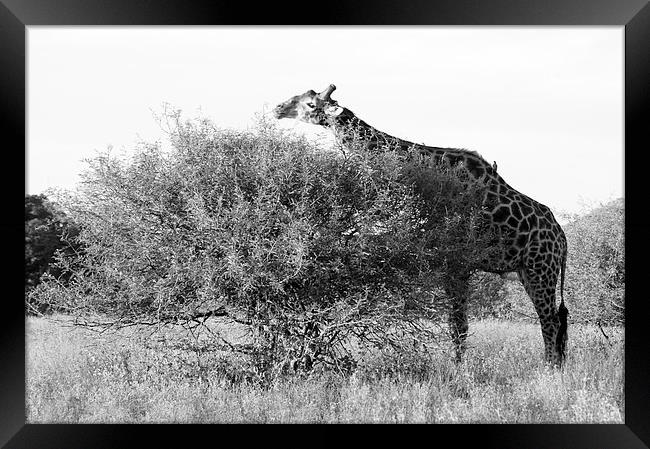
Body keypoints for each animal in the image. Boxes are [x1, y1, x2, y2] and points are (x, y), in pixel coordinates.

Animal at [270, 85, 564, 368]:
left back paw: (550, 368)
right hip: (527, 271)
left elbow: (458, 323)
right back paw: (557, 364)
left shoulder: (457, 262)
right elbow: (457, 323)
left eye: (310, 104)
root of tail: (563, 239)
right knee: (557, 317)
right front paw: (458, 367)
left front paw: (458, 370)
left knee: (550, 319)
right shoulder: (453, 263)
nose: (277, 108)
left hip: (541, 270)